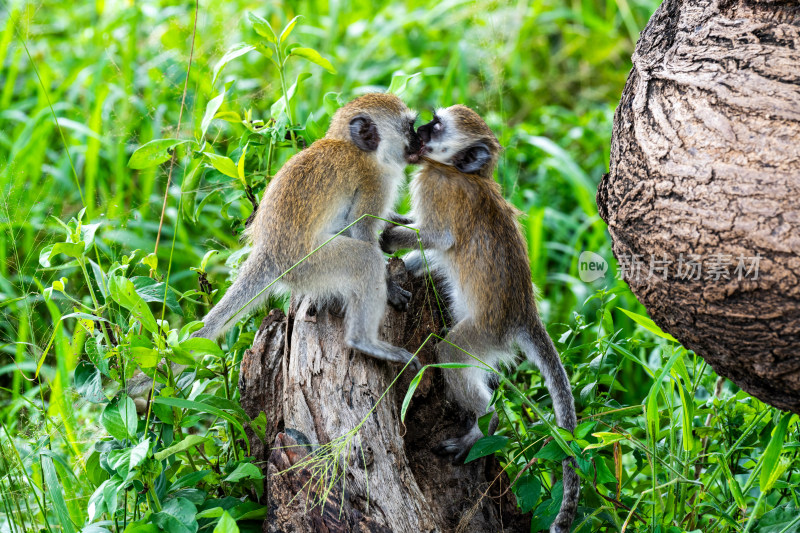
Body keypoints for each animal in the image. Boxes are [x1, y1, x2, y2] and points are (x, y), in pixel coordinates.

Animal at [126, 93, 424, 406]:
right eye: (409, 127)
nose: (420, 142)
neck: (353, 147)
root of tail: (268, 254)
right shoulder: (373, 182)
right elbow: (362, 229)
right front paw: (389, 286)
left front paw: (401, 222)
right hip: (312, 265)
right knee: (364, 259)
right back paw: (364, 342)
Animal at [378, 104, 580, 532]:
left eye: (436, 127)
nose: (418, 132)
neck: (458, 171)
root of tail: (523, 313)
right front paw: (396, 222)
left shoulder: (436, 188)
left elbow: (438, 237)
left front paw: (389, 235)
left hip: (486, 333)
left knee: (450, 352)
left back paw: (484, 425)